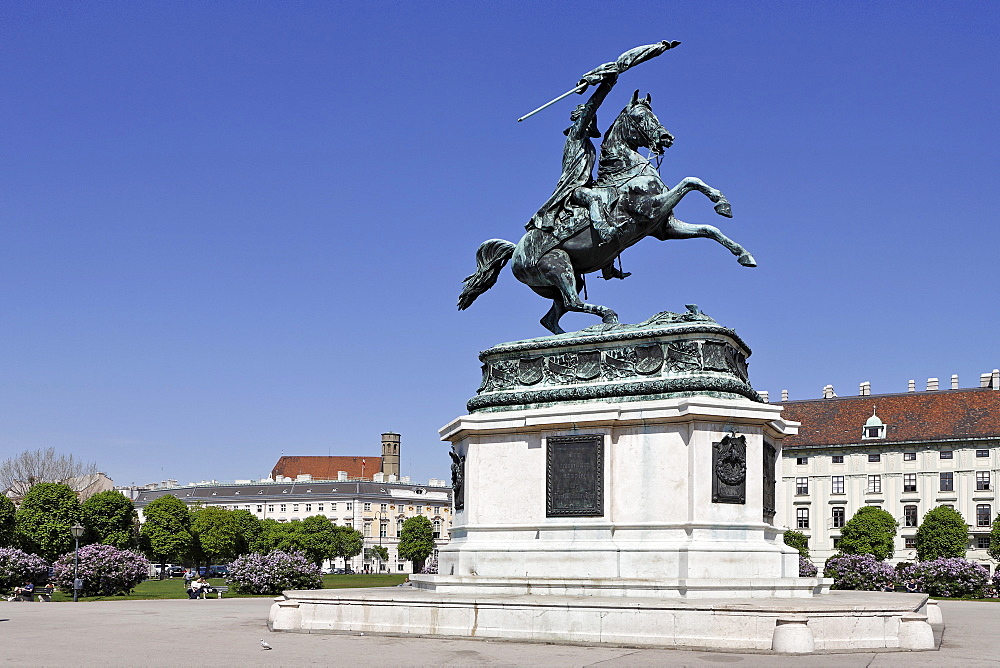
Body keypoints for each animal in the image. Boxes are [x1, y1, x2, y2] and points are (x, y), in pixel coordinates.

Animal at [458, 90, 752, 334]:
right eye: (641, 117)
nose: (667, 138)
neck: (626, 171)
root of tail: (515, 252)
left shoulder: (664, 228)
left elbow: (709, 228)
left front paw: (743, 252)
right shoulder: (649, 209)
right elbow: (690, 181)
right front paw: (721, 202)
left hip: (567, 277)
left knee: (552, 316)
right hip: (559, 266)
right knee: (572, 302)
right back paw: (607, 318)